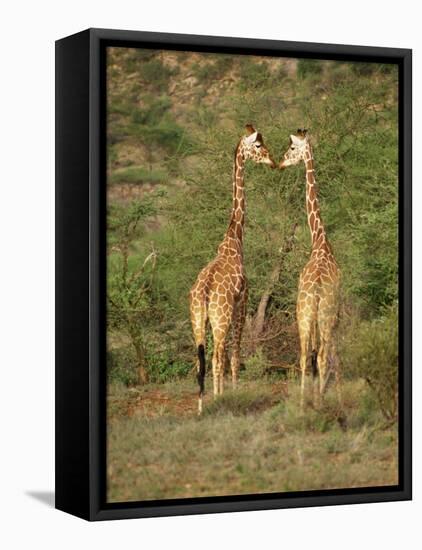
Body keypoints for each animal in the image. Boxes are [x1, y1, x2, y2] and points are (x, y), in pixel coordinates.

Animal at [190, 125, 276, 416]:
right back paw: (217, 401)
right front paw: (234, 393)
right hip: (222, 317)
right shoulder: (243, 301)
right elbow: (236, 354)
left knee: (202, 359)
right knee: (217, 356)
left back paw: (201, 407)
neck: (234, 240)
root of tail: (204, 292)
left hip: (198, 320)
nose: (272, 160)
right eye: (258, 145)